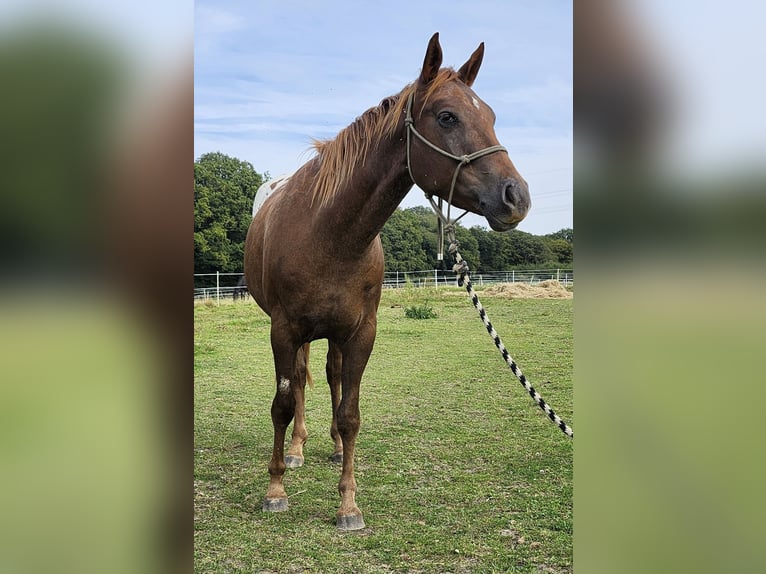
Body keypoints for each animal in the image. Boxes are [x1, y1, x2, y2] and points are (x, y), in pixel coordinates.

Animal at [243, 33, 532, 532]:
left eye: (492, 116)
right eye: (447, 116)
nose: (516, 196)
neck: (329, 233)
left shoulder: (362, 332)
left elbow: (350, 413)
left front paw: (348, 503)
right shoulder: (283, 330)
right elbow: (281, 404)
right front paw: (275, 489)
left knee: (330, 378)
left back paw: (331, 446)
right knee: (298, 381)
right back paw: (297, 450)